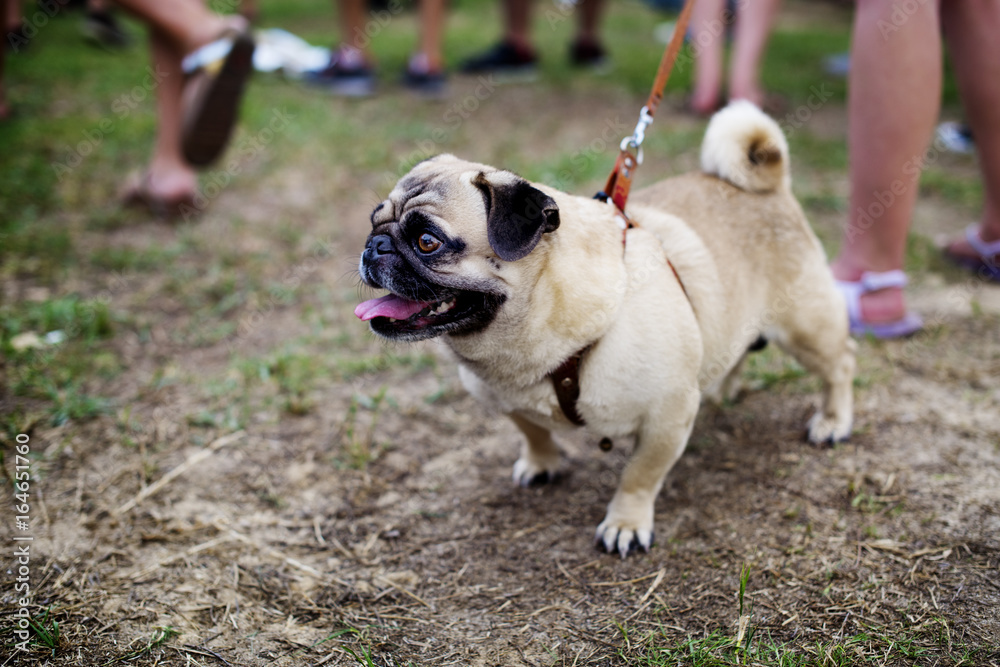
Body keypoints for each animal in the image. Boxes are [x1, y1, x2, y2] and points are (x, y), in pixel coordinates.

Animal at [356, 100, 856, 560]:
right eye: (373, 221)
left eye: (428, 242)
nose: (374, 246)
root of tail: (770, 186)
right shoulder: (507, 400)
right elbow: (533, 432)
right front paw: (542, 463)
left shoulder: (667, 418)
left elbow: (639, 477)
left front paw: (626, 523)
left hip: (806, 327)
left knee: (839, 365)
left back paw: (833, 421)